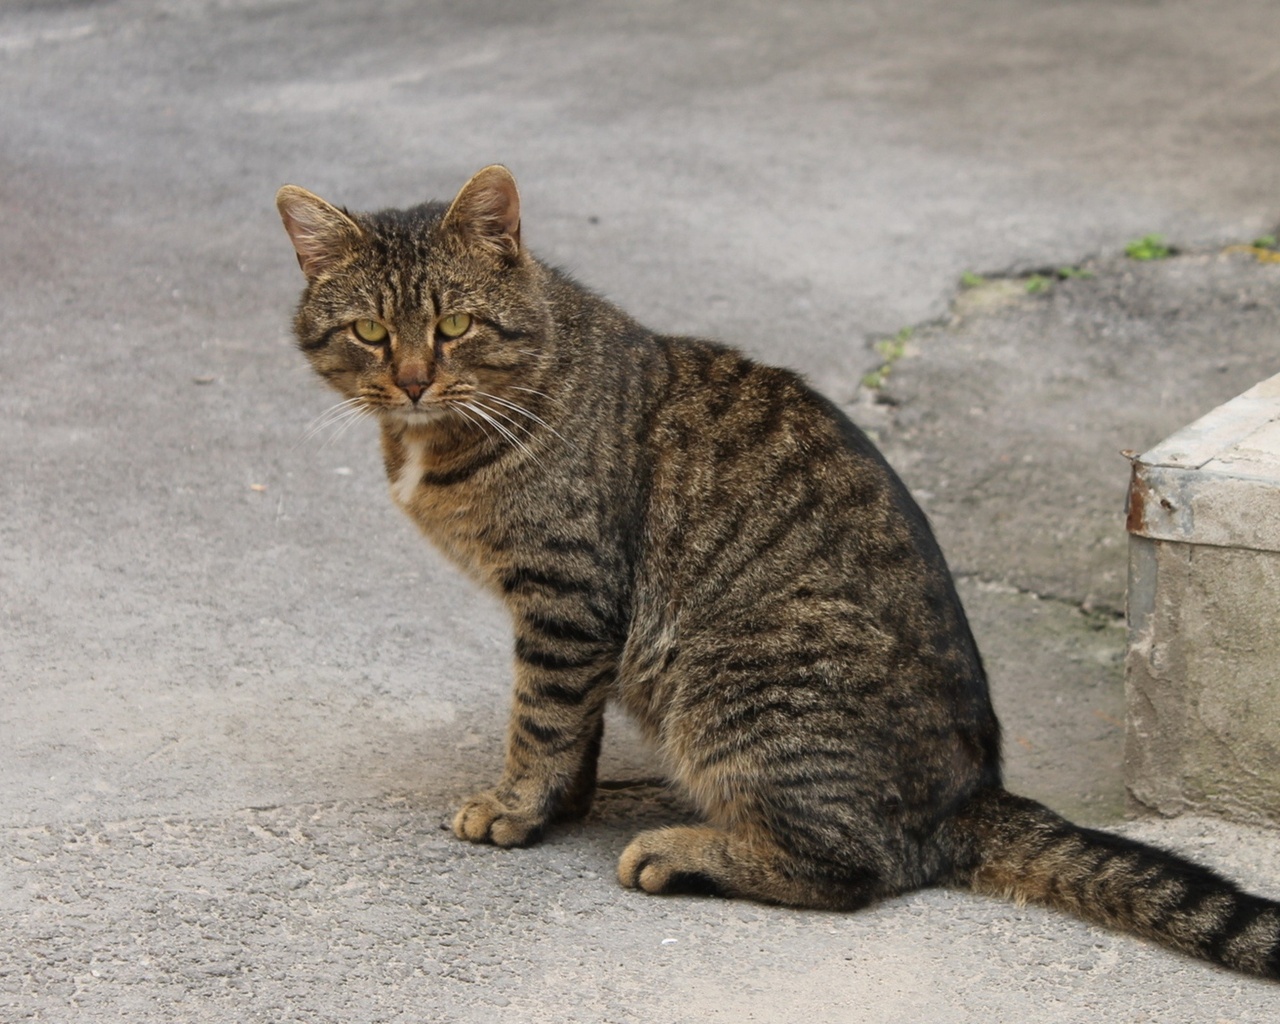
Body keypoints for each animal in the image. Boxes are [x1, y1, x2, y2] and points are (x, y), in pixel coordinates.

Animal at [277, 166, 1280, 977]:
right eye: (370, 331)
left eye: (453, 325)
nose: (411, 379)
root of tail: (975, 794)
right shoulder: (578, 623)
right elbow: (574, 726)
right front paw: (564, 803)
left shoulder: (569, 597)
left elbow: (541, 719)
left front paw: (520, 807)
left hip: (734, 668)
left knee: (852, 870)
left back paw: (681, 849)